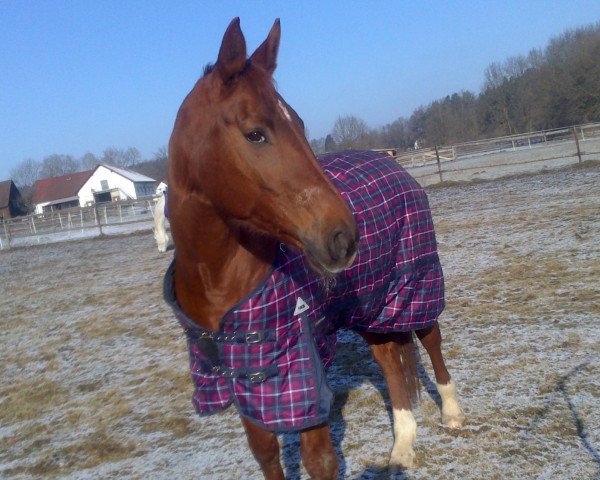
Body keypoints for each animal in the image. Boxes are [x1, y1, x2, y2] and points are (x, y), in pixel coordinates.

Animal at [164, 16, 464, 478]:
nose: (344, 236)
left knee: (431, 339)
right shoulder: (245, 378)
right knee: (391, 365)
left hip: (415, 285)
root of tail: (395, 165)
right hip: (370, 306)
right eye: (255, 134)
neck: (218, 282)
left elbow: (319, 459)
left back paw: (451, 413)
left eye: (302, 125)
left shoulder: (303, 372)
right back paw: (401, 449)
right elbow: (265, 452)